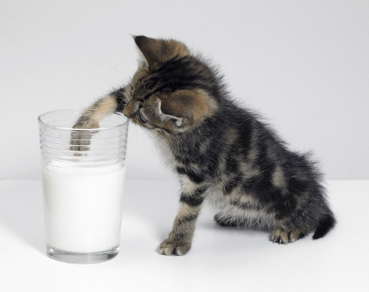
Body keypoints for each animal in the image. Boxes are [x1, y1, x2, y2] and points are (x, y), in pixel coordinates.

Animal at [70, 36, 334, 256]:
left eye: (143, 117)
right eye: (133, 92)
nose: (126, 113)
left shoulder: (197, 174)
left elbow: (187, 211)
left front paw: (177, 241)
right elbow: (113, 96)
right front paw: (83, 127)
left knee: (312, 216)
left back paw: (292, 227)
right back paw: (233, 217)